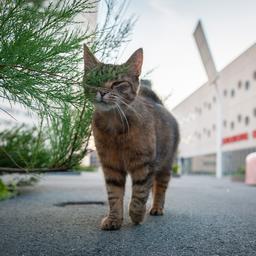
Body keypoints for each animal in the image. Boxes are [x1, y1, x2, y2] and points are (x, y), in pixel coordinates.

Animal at [83, 45, 179, 231]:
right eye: (95, 79)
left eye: (117, 83)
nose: (102, 92)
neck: (114, 127)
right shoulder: (111, 166)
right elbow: (114, 195)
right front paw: (114, 219)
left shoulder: (144, 165)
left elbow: (139, 194)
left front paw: (136, 215)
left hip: (165, 166)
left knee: (160, 188)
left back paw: (157, 208)